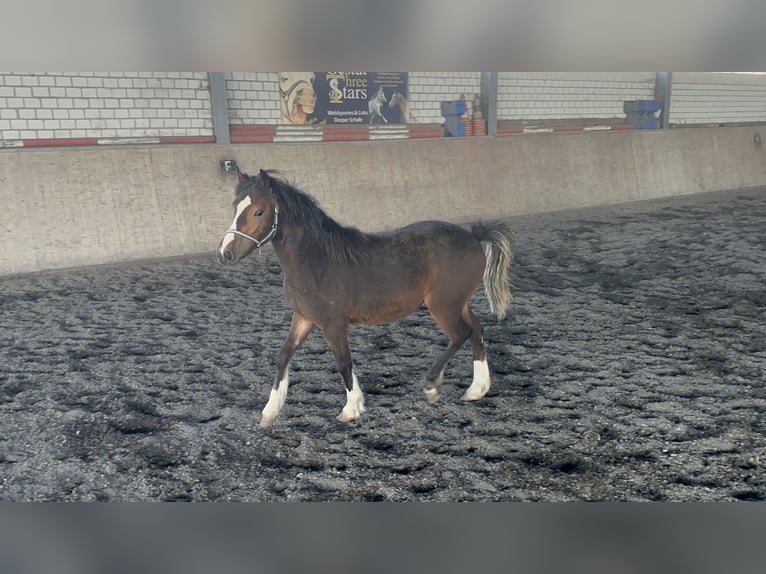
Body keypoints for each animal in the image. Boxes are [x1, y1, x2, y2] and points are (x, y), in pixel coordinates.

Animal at [218, 168, 516, 428]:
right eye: (234, 207)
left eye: (259, 211)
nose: (225, 253)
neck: (316, 262)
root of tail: (473, 236)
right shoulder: (303, 318)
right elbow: (283, 356)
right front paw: (269, 412)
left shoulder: (333, 323)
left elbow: (343, 362)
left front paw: (351, 409)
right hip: (457, 303)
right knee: (476, 332)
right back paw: (476, 390)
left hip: (443, 306)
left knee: (461, 334)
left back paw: (432, 386)